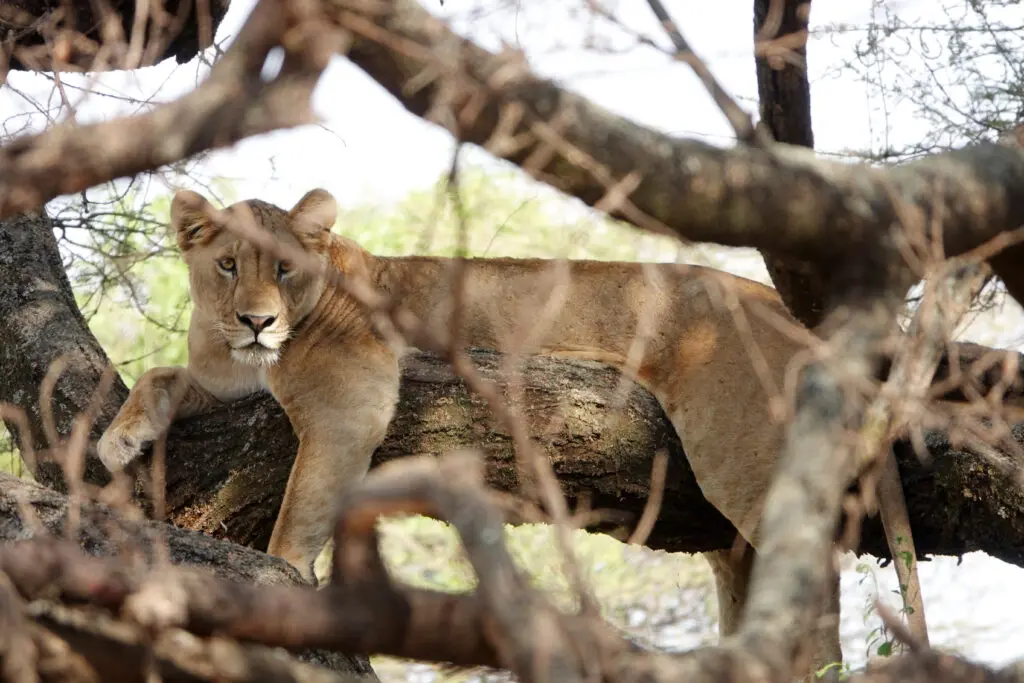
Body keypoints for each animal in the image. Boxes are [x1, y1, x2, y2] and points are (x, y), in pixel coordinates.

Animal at [97, 187, 929, 678]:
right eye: (228, 264)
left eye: (283, 269)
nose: (257, 319)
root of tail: (781, 306)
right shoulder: (227, 376)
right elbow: (162, 374)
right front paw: (120, 437)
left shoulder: (349, 400)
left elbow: (300, 509)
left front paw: (283, 591)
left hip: (744, 447)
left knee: (810, 569)